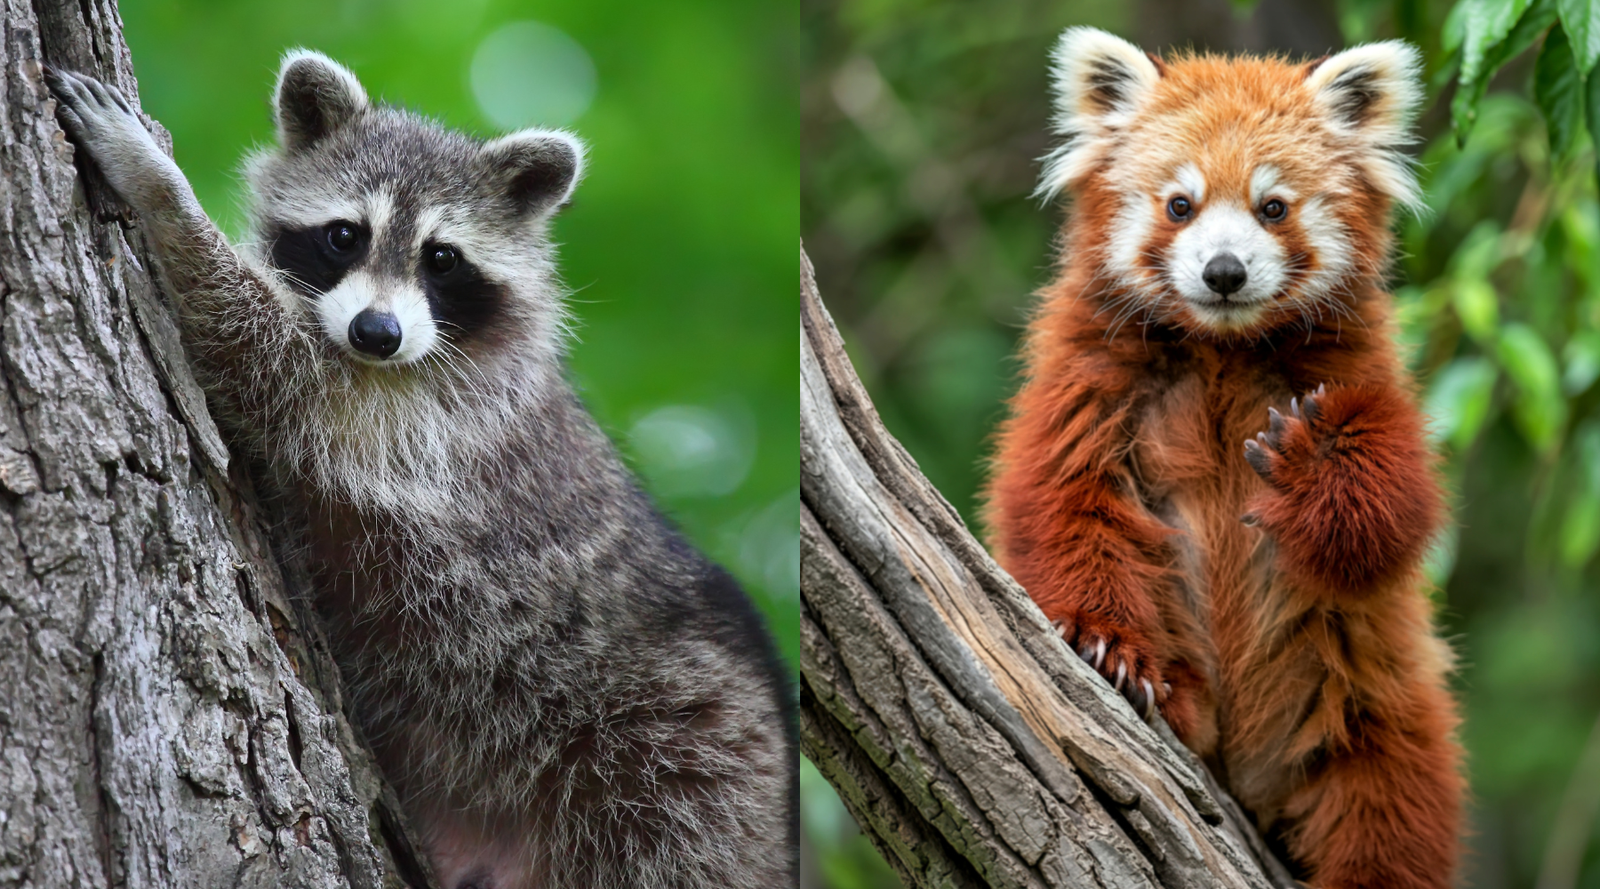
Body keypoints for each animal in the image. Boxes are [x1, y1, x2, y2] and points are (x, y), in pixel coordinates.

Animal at [46, 53, 795, 889]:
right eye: (345, 236)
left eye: (442, 258)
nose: (377, 332)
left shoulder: (434, 420)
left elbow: (266, 354)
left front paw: (160, 188)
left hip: (680, 775)